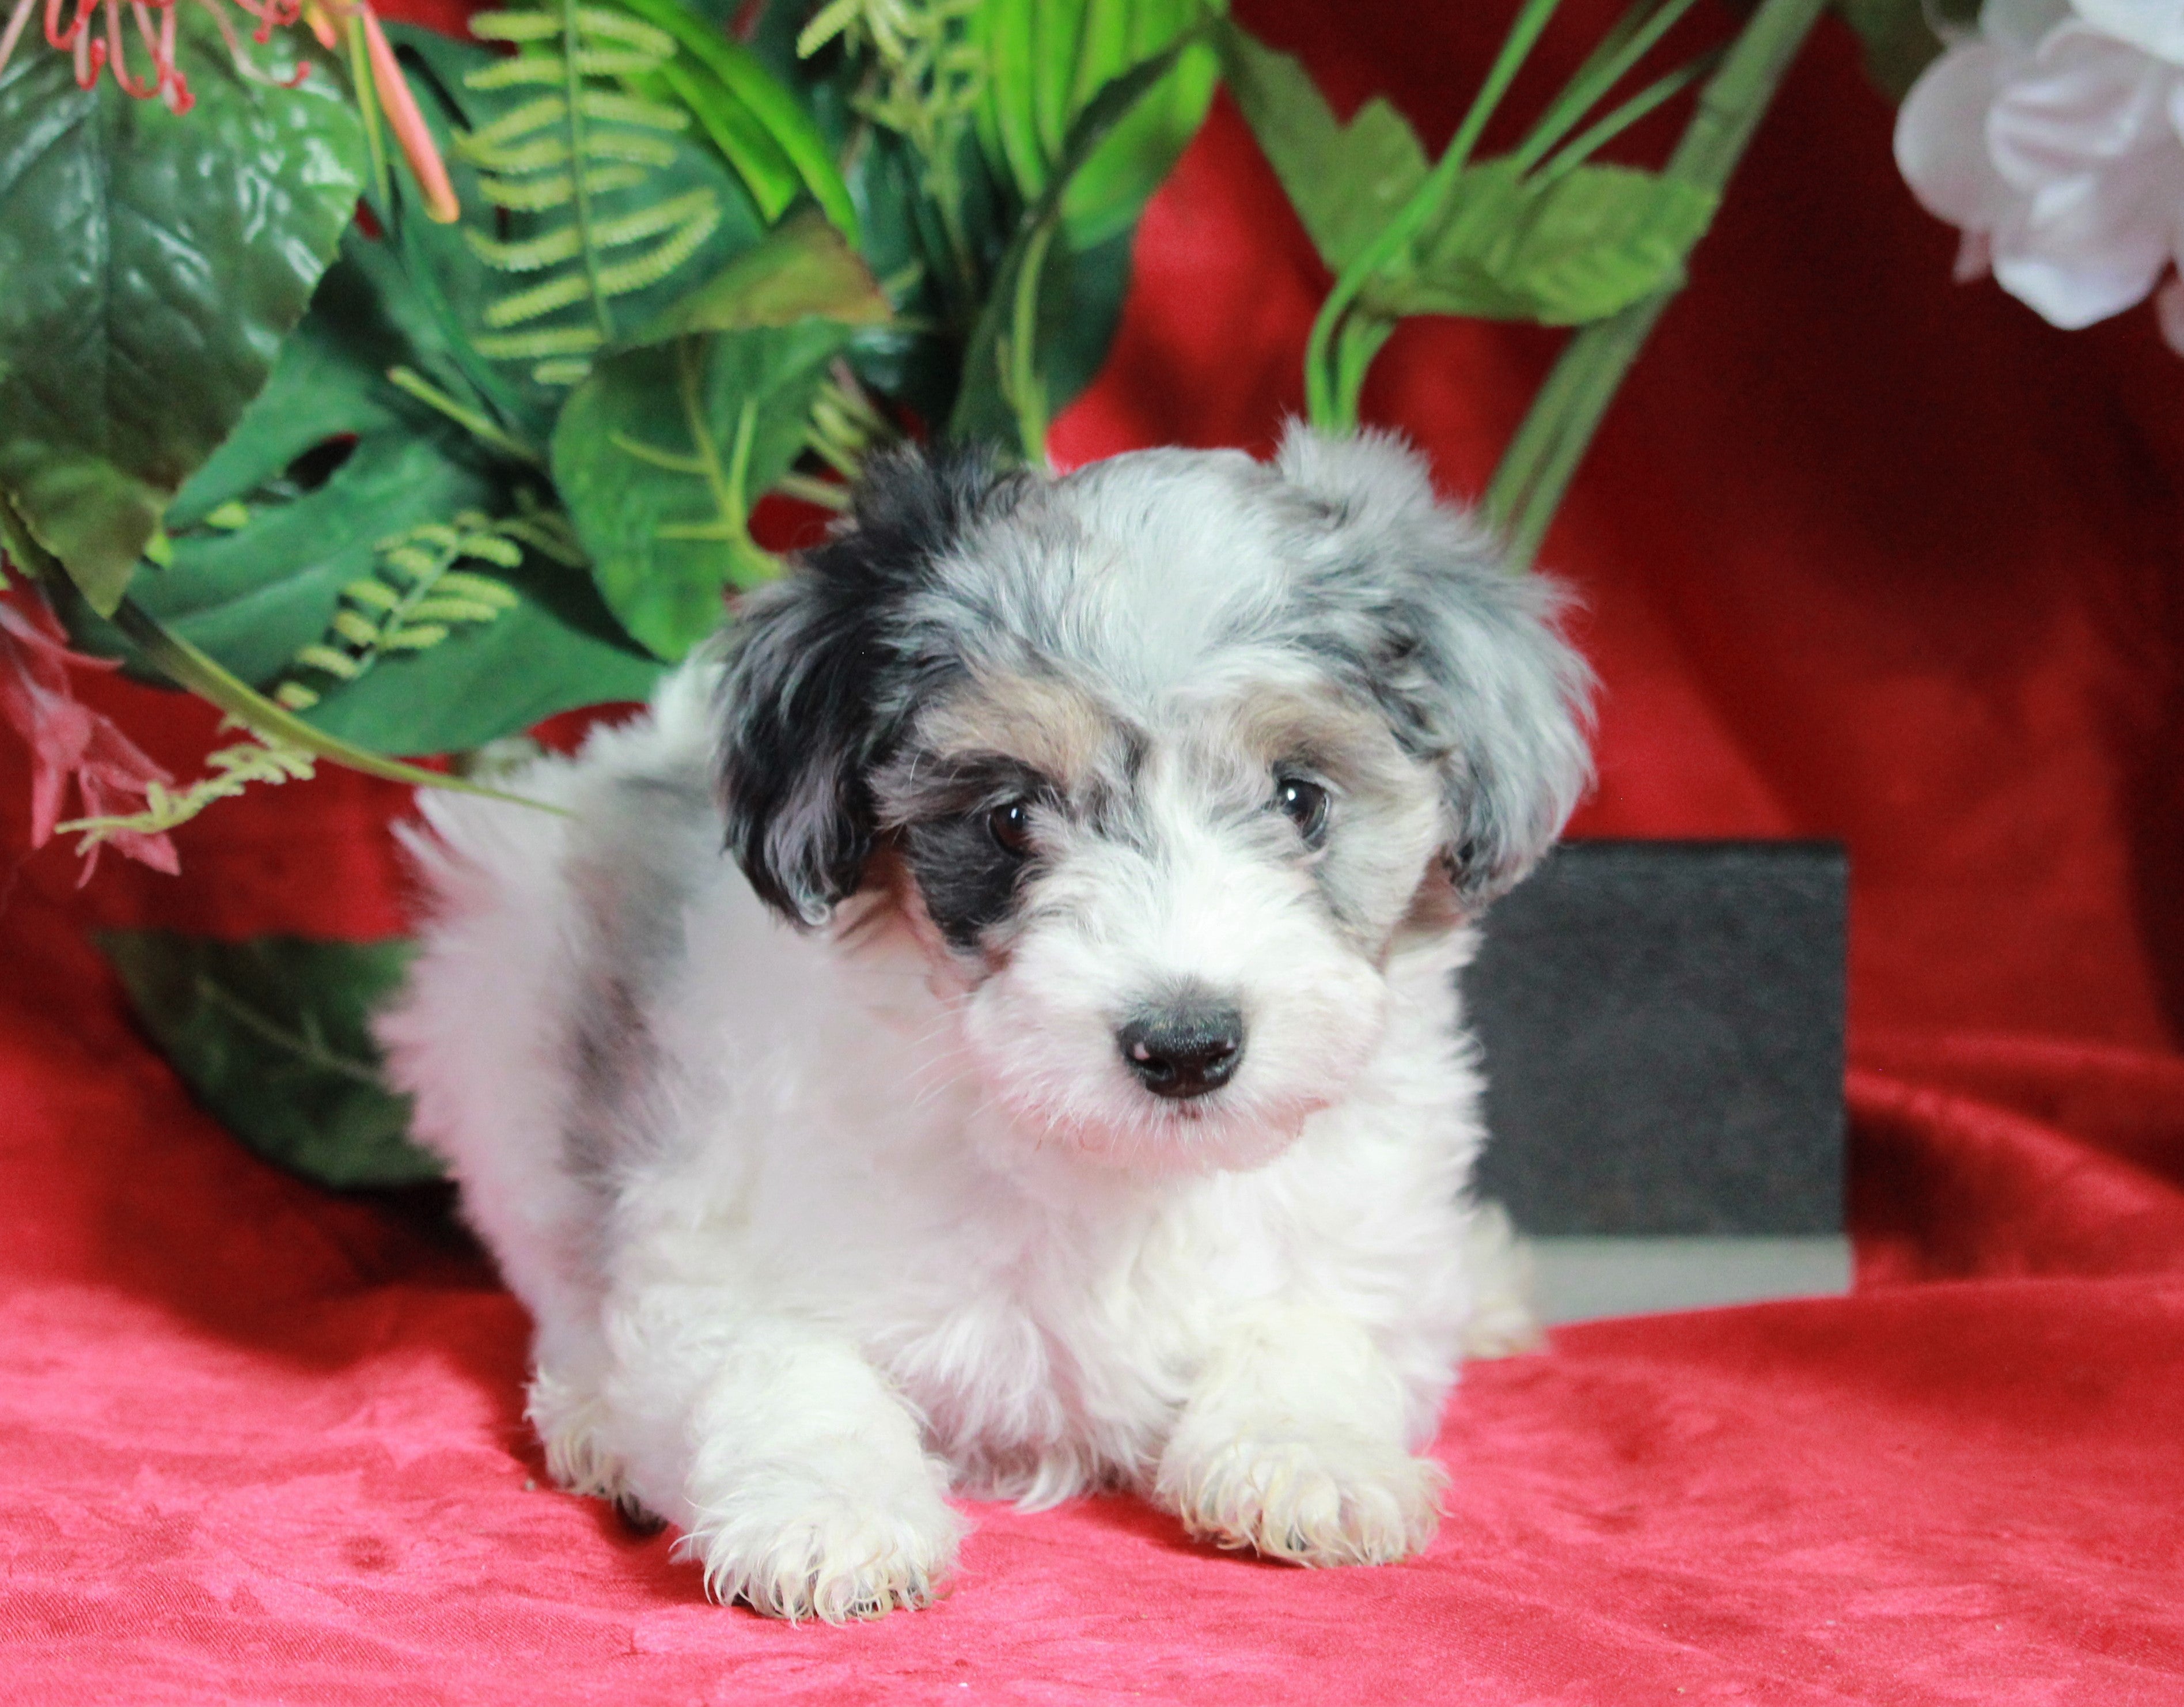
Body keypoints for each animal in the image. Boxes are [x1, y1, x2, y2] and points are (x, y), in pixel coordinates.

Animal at [376, 419, 1590, 1617]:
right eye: (1009, 817)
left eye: (1301, 798)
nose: (1187, 1046)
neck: (1103, 1159)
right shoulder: (717, 1233)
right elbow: (777, 1363)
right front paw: (828, 1510)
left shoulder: (1367, 1237)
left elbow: (1318, 1323)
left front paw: (1308, 1454)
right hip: (500, 1007)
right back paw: (590, 1406)